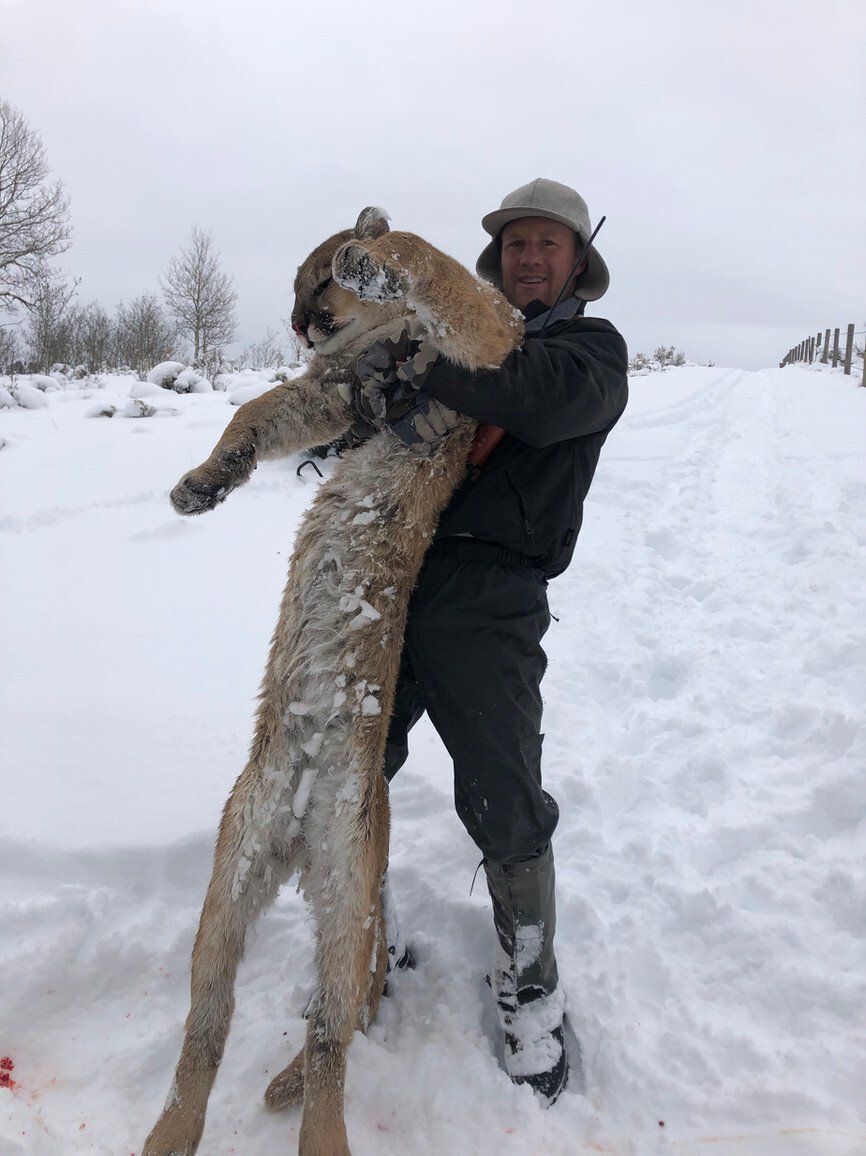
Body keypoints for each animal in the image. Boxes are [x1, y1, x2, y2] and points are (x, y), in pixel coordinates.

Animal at [142, 207, 523, 1156]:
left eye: (316, 280)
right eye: (291, 287)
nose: (298, 323)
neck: (383, 353)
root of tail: (303, 812)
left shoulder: (488, 348)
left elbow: (443, 273)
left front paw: (375, 256)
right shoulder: (335, 395)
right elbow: (258, 407)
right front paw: (201, 486)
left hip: (350, 897)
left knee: (328, 1035)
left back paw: (314, 1129)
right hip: (231, 877)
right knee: (213, 1020)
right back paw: (172, 1134)